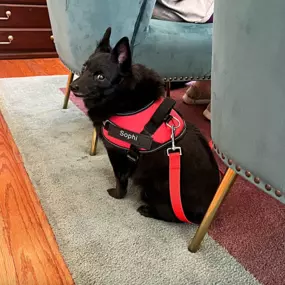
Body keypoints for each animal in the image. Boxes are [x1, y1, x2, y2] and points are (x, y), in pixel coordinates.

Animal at [69, 28, 220, 224]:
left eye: (100, 76)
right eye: (83, 68)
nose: (73, 86)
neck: (121, 96)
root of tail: (205, 213)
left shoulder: (116, 154)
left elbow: (120, 179)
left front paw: (117, 194)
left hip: (156, 186)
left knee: (172, 216)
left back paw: (148, 210)